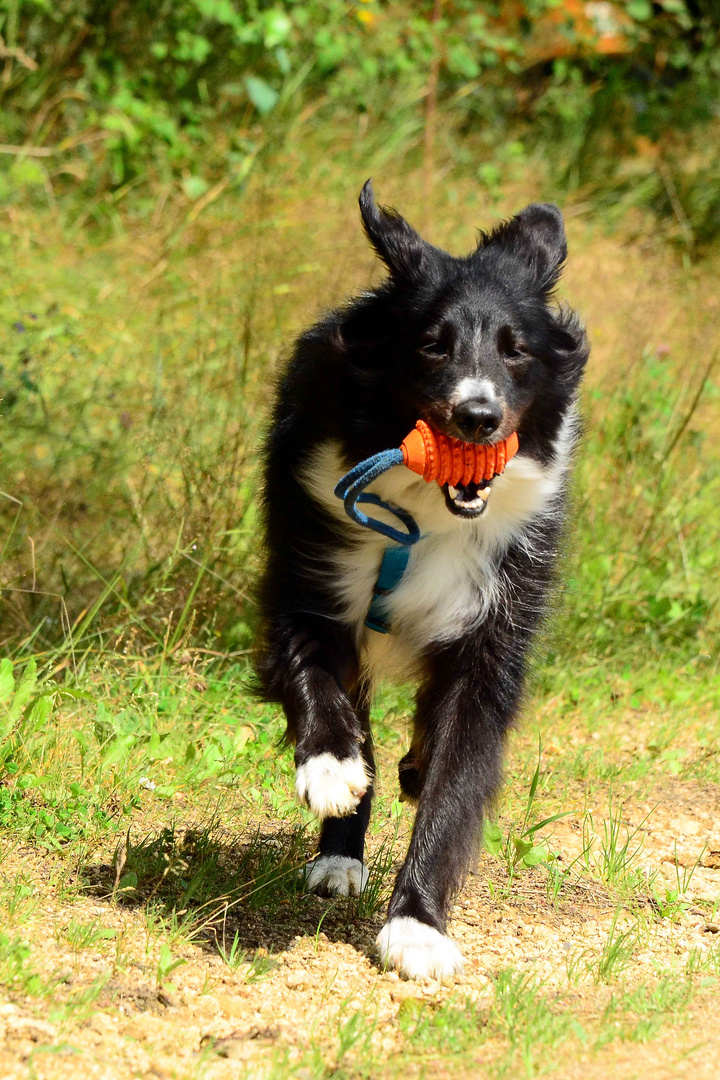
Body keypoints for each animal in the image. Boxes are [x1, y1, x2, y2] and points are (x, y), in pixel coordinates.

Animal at [255, 181, 587, 984]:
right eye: (432, 343)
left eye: (516, 349)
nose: (478, 415)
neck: (427, 507)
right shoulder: (311, 564)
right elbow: (312, 669)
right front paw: (332, 769)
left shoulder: (497, 621)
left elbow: (456, 770)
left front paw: (416, 927)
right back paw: (339, 855)